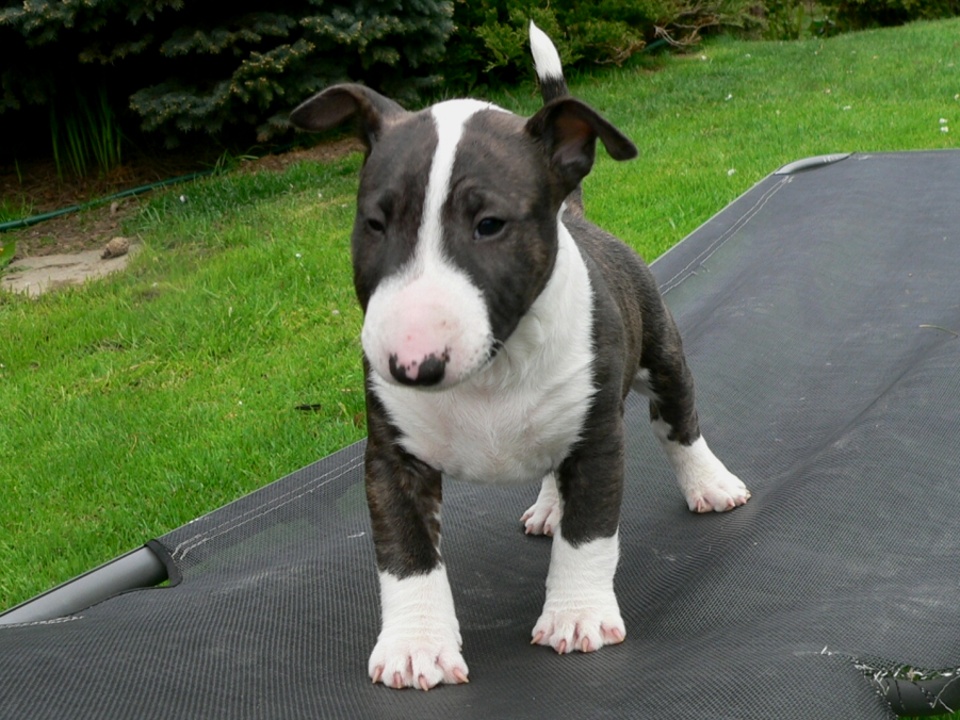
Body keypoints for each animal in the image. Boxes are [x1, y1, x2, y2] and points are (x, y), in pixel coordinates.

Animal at [289, 22, 750, 691]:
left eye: (489, 224)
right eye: (374, 223)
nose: (410, 364)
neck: (494, 368)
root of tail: (574, 213)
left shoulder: (597, 440)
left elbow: (589, 537)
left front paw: (576, 617)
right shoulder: (391, 458)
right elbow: (406, 555)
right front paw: (416, 647)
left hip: (661, 354)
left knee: (679, 423)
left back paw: (710, 483)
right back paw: (548, 508)